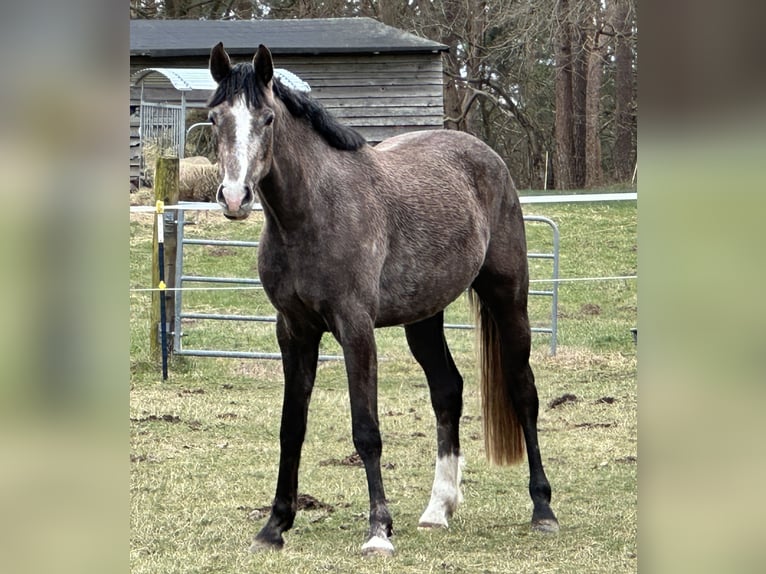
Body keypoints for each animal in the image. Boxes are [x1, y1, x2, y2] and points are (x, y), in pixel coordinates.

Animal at [207, 44, 560, 560]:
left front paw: (378, 531)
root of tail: (486, 157)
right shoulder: (293, 330)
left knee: (524, 393)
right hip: (425, 318)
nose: (235, 197)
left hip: (508, 301)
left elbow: (366, 430)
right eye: (215, 118)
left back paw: (543, 509)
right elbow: (291, 427)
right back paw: (438, 509)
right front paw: (274, 526)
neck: (313, 213)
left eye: (268, 119)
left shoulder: (355, 328)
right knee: (447, 391)